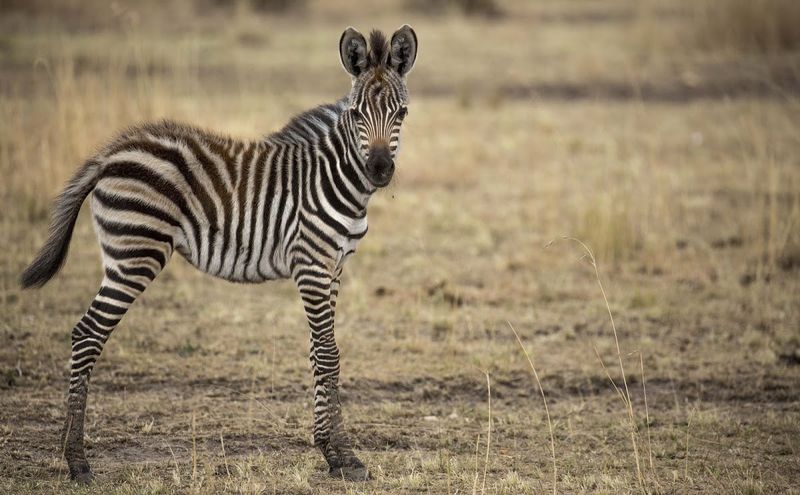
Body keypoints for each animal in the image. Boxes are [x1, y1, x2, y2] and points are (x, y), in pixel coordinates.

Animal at [20, 25, 417, 483]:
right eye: (356, 114)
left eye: (401, 113)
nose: (380, 170)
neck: (335, 177)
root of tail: (110, 154)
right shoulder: (311, 265)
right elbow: (329, 355)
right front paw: (342, 456)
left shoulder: (331, 268)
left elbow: (319, 354)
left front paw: (331, 451)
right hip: (136, 253)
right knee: (87, 334)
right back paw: (76, 460)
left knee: (86, 333)